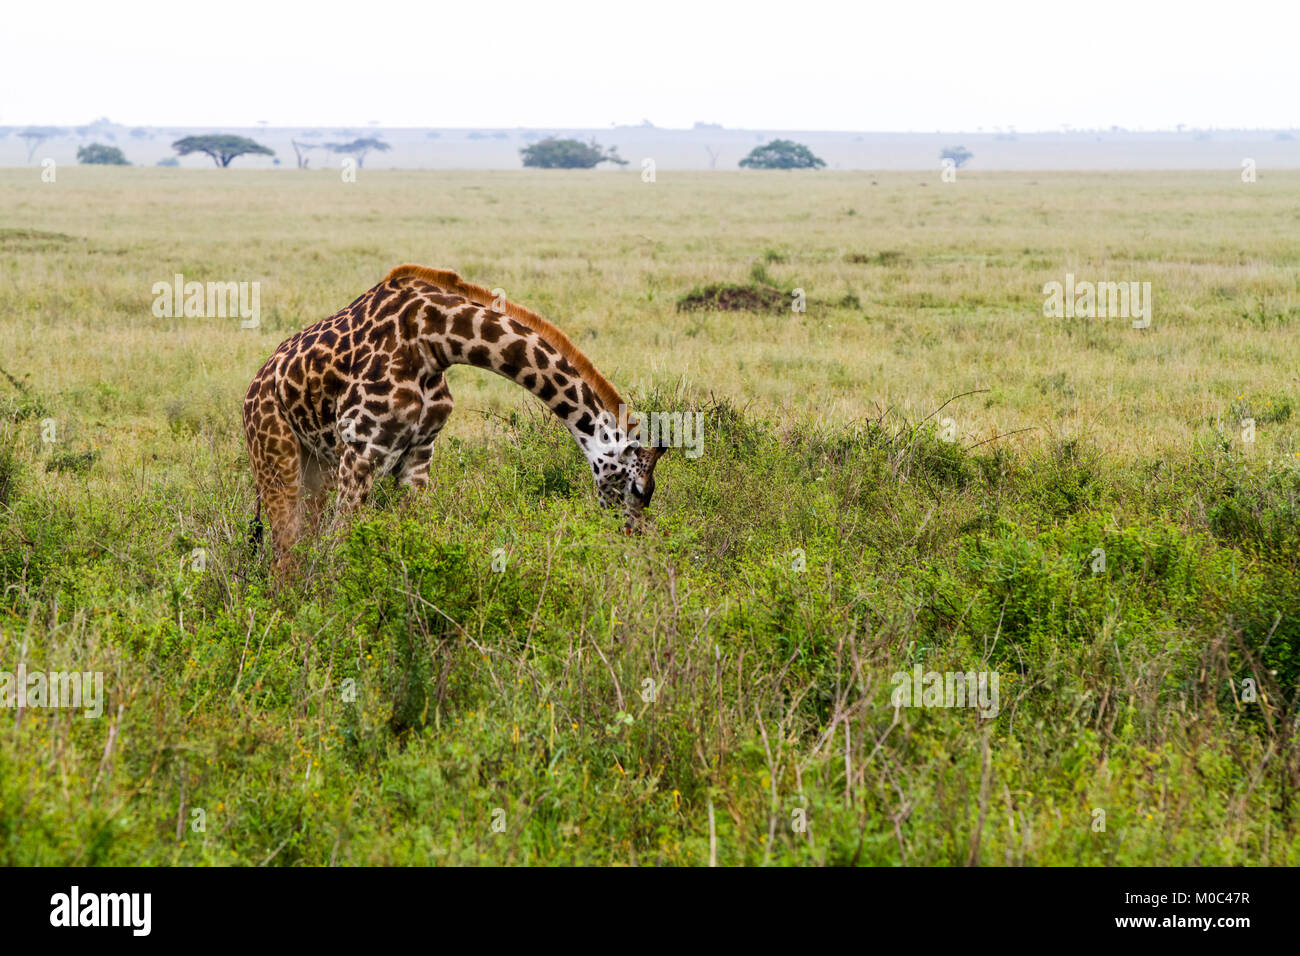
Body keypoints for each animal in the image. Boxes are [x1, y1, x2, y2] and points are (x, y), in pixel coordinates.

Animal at [244, 261, 670, 574]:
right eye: (638, 490)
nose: (628, 539)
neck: (434, 339)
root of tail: (253, 390)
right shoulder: (361, 449)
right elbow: (338, 548)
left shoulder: (418, 454)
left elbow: (411, 539)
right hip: (276, 458)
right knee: (284, 554)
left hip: (317, 467)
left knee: (299, 546)